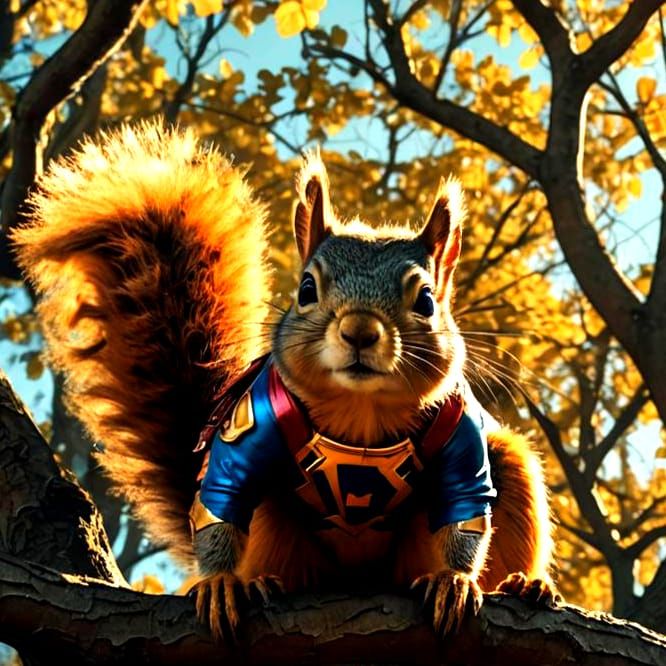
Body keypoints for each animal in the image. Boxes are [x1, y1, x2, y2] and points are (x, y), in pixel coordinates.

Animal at [12, 121, 559, 642]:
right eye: (307, 289)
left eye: (426, 300)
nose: (360, 331)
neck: (362, 415)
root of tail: (360, 577)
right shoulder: (251, 424)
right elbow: (220, 495)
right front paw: (218, 583)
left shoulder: (460, 432)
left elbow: (468, 507)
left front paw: (456, 580)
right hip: (276, 530)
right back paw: (254, 581)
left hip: (492, 484)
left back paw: (523, 584)